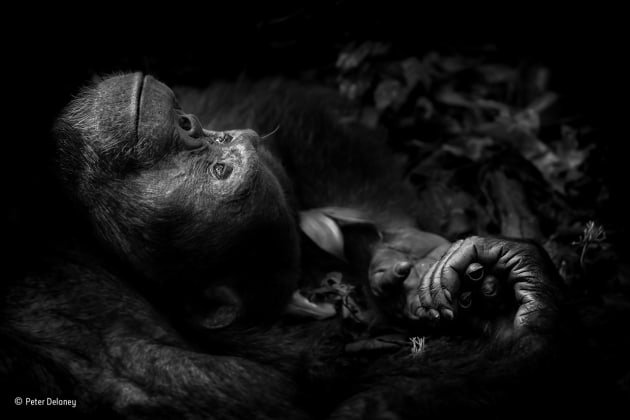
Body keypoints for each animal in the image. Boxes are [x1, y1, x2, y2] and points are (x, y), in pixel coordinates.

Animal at [1, 74, 588, 418]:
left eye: (216, 150)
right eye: (221, 171)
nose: (191, 125)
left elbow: (288, 105)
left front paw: (415, 257)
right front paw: (524, 316)